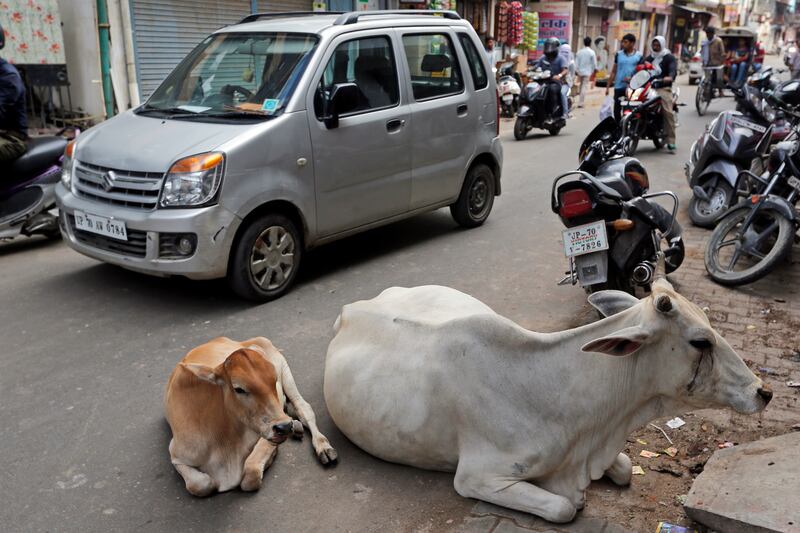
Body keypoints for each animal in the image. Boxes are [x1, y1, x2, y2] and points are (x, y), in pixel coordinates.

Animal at [164, 336, 336, 494]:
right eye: (239, 388)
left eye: (274, 380)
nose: (285, 427)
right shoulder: (176, 455)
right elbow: (200, 485)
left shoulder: (265, 434)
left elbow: (250, 476)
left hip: (285, 370)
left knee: (303, 408)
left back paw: (323, 447)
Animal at [322, 280, 772, 520]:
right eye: (701, 341)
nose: (763, 391)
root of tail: (353, 307)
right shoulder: (477, 477)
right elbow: (564, 508)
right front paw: (574, 500)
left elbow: (625, 468)